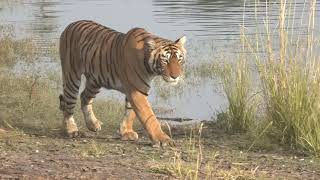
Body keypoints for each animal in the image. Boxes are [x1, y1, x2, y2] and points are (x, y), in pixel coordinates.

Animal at [58, 19, 186, 146]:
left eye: (179, 59)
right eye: (165, 60)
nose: (175, 76)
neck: (150, 69)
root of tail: (71, 24)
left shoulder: (136, 89)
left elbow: (130, 112)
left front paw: (127, 132)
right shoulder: (137, 90)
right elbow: (149, 116)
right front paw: (163, 139)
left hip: (95, 80)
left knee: (85, 96)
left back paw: (93, 124)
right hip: (72, 75)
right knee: (69, 104)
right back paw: (71, 130)